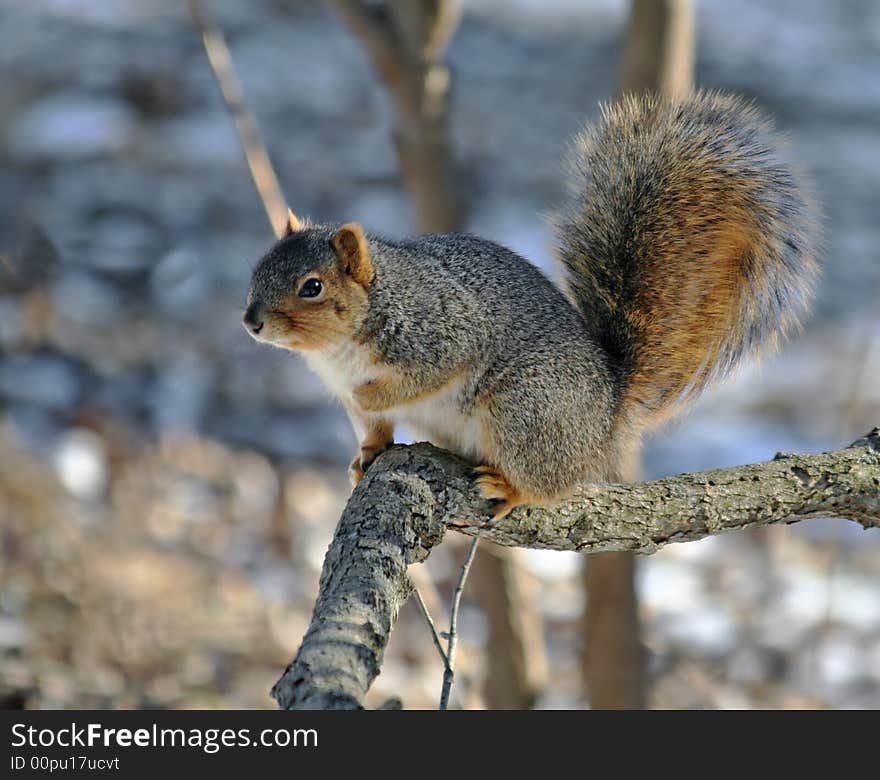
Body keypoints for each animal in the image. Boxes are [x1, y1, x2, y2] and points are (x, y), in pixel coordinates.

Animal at [241, 90, 820, 516]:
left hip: (526, 408)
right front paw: (366, 455)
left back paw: (510, 488)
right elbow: (376, 430)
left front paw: (374, 393)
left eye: (312, 287)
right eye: (259, 265)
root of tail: (606, 421)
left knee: (550, 484)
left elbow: (424, 377)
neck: (340, 347)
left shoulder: (444, 332)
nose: (251, 323)